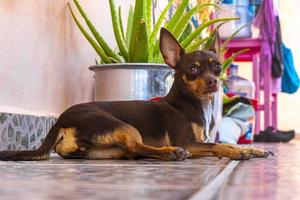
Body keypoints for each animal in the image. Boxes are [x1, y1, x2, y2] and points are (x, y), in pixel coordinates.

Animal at [0, 27, 272, 161]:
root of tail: (60, 122)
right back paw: (169, 153)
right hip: (122, 125)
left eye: (217, 66)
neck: (191, 104)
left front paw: (254, 150)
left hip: (105, 150)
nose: (213, 81)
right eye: (193, 69)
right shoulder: (188, 142)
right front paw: (240, 152)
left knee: (133, 151)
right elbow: (218, 145)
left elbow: (223, 143)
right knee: (137, 146)